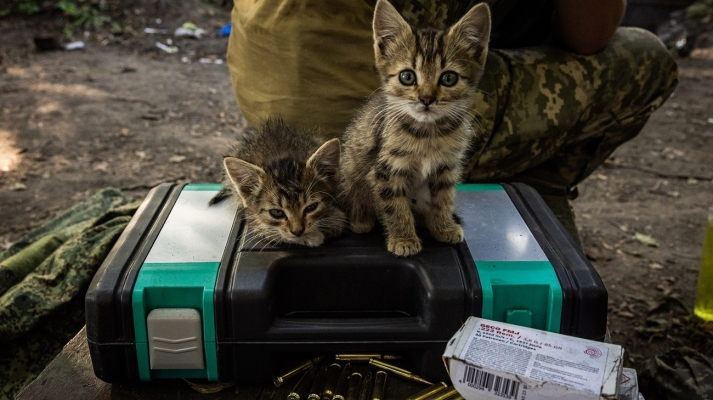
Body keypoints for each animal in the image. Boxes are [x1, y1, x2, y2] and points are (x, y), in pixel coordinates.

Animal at [211, 116, 344, 247]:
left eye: (312, 207)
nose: (298, 232)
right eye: (276, 212)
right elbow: (271, 231)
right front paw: (312, 237)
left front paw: (334, 218)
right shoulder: (251, 214)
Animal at [338, 0, 490, 256]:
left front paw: (443, 226)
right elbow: (395, 206)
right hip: (350, 170)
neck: (428, 134)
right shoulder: (385, 171)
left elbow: (444, 199)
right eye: (407, 77)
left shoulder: (446, 167)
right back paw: (361, 220)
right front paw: (403, 238)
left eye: (448, 78)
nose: (426, 99)